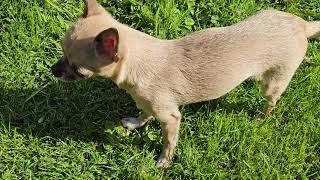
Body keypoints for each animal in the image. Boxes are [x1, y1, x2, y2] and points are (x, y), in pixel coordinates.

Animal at [51, 0, 318, 169]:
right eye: (62, 53)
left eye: (78, 69)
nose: (53, 71)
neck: (138, 63)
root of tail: (302, 25)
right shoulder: (147, 103)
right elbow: (144, 113)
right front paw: (136, 123)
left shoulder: (170, 118)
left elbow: (168, 142)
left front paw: (164, 162)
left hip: (273, 83)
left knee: (271, 102)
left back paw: (261, 118)